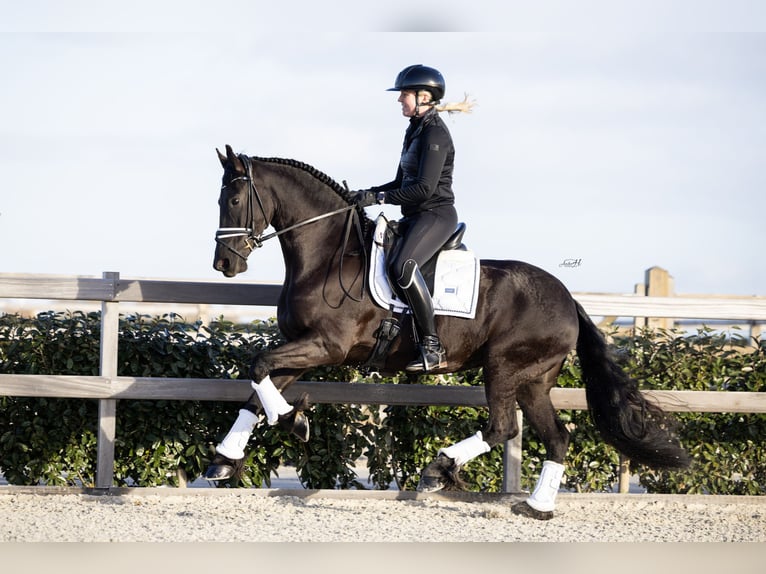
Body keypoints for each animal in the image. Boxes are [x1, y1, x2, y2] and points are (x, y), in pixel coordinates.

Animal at [205, 144, 689, 519]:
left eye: (234, 199)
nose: (225, 264)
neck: (328, 258)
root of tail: (567, 298)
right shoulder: (303, 349)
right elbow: (256, 388)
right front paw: (225, 461)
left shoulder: (326, 346)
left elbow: (258, 366)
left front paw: (293, 421)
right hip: (533, 380)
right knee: (556, 437)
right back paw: (537, 507)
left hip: (504, 368)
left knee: (501, 428)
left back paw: (438, 469)